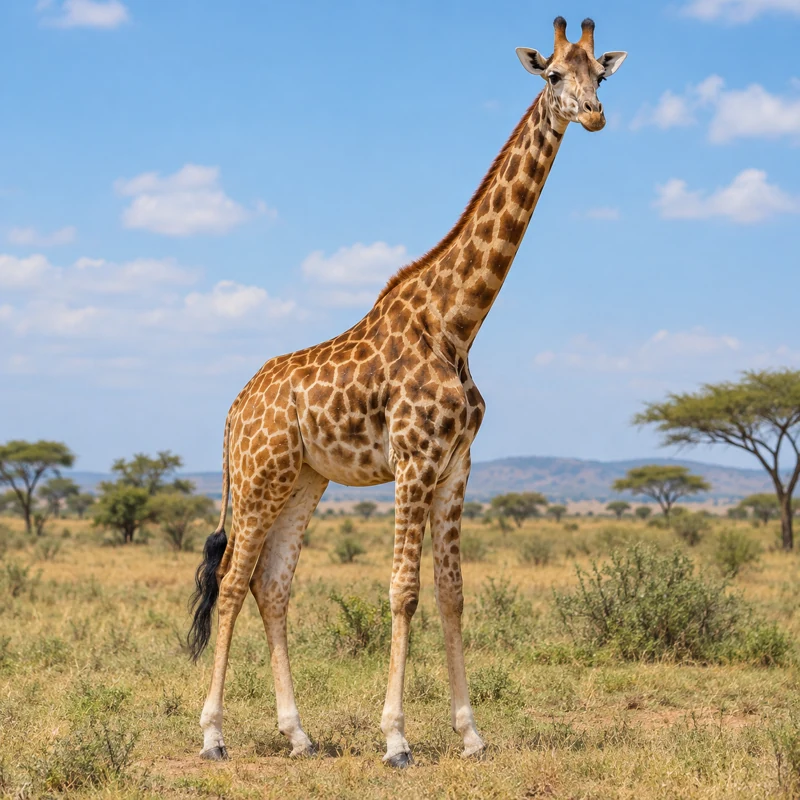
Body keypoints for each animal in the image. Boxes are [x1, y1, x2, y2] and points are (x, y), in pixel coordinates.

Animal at [188, 16, 627, 768]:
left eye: (600, 72)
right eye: (553, 76)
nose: (595, 114)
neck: (457, 323)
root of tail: (235, 409)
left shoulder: (456, 468)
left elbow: (451, 595)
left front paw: (471, 734)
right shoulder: (414, 462)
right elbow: (403, 592)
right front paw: (395, 739)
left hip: (303, 481)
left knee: (273, 587)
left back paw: (299, 734)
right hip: (257, 479)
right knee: (232, 585)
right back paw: (214, 735)